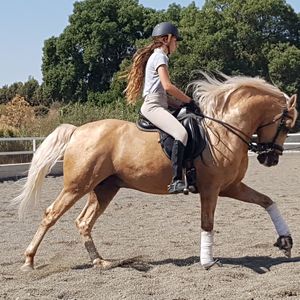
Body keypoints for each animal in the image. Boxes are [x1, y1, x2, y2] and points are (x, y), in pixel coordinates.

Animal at [12, 72, 298, 272]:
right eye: (286, 125)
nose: (270, 158)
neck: (224, 129)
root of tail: (78, 130)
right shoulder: (211, 189)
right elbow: (207, 223)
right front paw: (207, 261)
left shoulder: (230, 187)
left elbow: (267, 201)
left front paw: (285, 241)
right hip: (77, 186)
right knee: (51, 215)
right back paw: (28, 260)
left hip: (104, 189)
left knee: (83, 222)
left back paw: (100, 262)